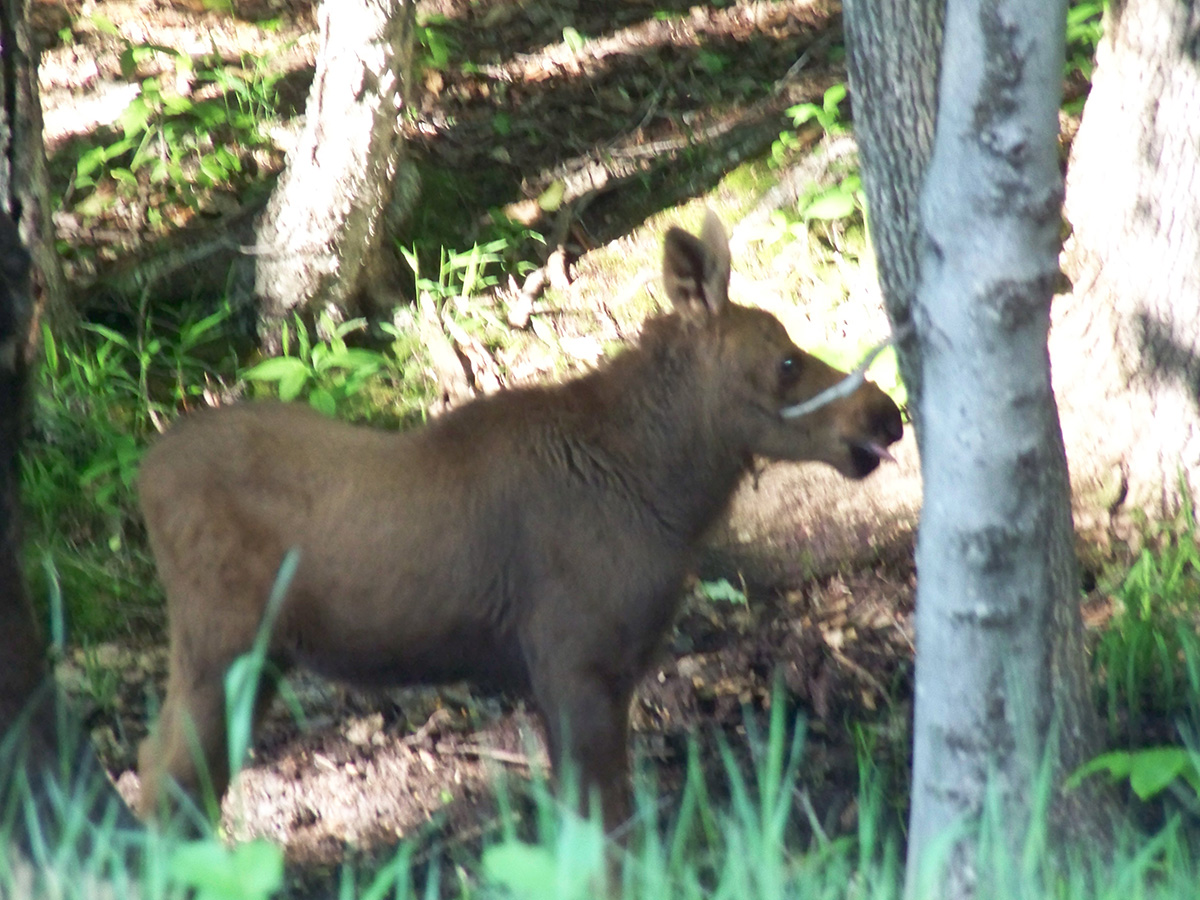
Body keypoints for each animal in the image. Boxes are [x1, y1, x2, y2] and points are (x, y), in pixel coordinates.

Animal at [135, 211, 903, 833]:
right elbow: (603, 834)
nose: (885, 415)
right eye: (786, 361)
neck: (666, 498)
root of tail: (144, 479)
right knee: (172, 778)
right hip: (221, 640)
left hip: (248, 656)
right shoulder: (573, 657)